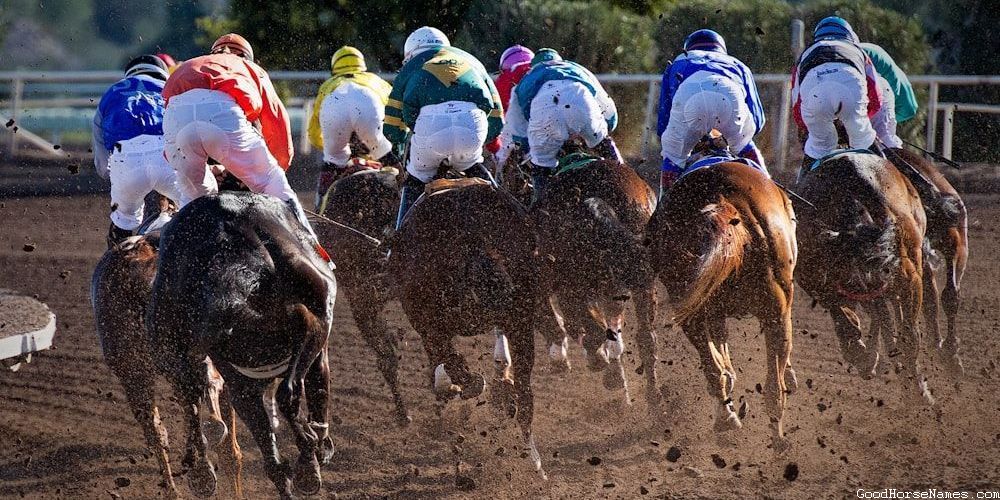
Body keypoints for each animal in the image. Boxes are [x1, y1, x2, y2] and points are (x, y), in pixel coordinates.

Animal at [146, 192, 337, 499]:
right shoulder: (314, 339)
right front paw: (312, 457)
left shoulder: (242, 386)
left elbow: (272, 462)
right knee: (286, 392)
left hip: (173, 346)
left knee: (191, 395)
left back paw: (202, 470)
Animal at [387, 178, 545, 477]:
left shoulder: (428, 327)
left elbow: (446, 365)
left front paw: (454, 386)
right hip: (520, 319)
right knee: (525, 394)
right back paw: (534, 463)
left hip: (430, 321)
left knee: (453, 364)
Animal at [530, 157, 662, 412]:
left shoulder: (570, 290)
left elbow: (582, 328)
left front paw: (603, 366)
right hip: (643, 279)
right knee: (646, 337)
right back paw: (655, 401)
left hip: (575, 284)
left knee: (593, 330)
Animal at [646, 160, 798, 451]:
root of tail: (721, 198)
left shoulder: (711, 310)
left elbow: (721, 357)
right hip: (777, 308)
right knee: (774, 387)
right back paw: (775, 438)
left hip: (690, 304)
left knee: (714, 369)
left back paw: (729, 418)